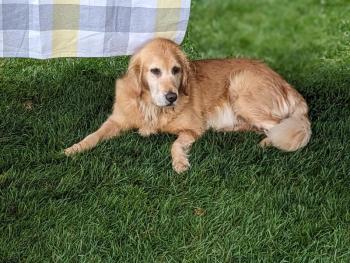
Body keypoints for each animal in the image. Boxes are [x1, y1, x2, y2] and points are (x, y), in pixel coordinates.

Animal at [64, 37, 310, 173]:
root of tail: (286, 83)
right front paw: (74, 148)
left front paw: (180, 163)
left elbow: (174, 145)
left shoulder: (193, 128)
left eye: (176, 70)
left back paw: (269, 141)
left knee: (281, 126)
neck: (153, 107)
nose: (172, 97)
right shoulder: (116, 120)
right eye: (155, 71)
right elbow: (94, 135)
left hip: (241, 89)